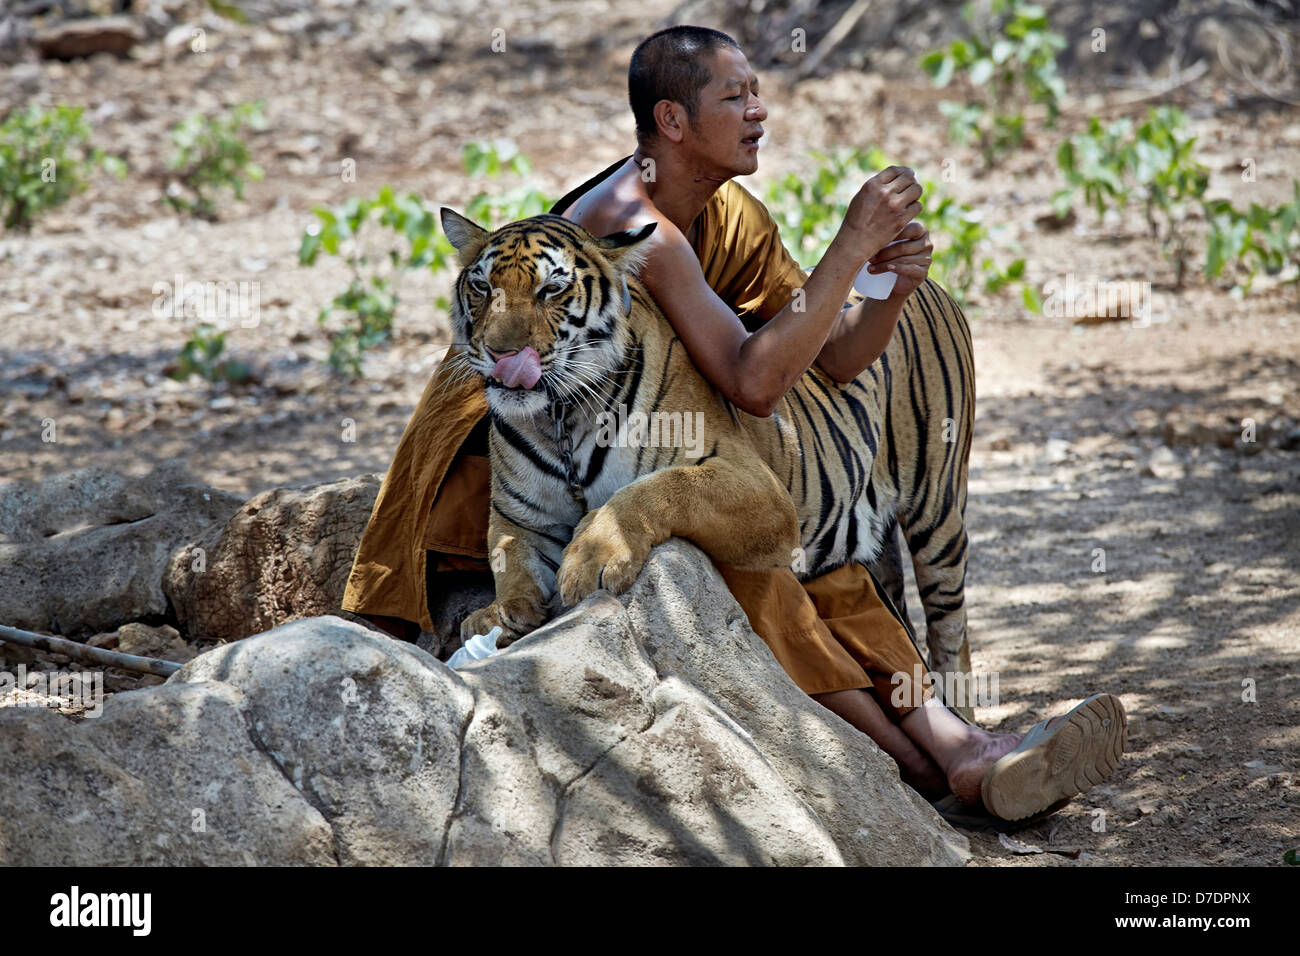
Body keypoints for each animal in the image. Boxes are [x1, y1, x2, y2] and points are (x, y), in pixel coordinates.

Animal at [439, 209, 977, 702]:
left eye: (551, 290)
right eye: (483, 286)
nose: (500, 353)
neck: (559, 418)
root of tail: (929, 285)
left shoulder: (756, 485)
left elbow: (657, 490)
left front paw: (595, 555)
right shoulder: (520, 518)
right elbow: (511, 562)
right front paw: (499, 616)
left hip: (937, 511)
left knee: (952, 631)